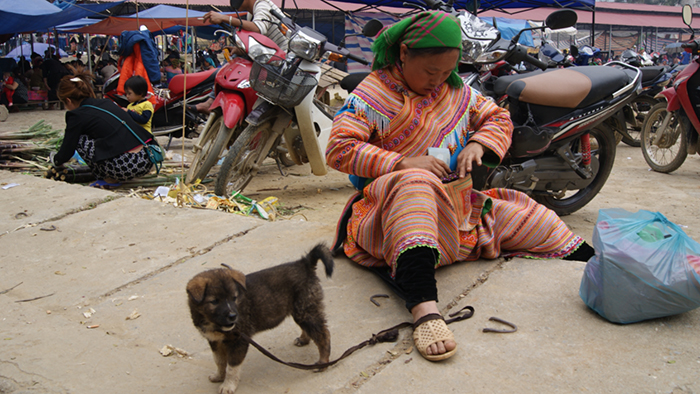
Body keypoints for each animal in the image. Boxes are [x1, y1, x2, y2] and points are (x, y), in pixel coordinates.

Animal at [186, 243, 334, 394]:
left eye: (234, 298)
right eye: (214, 301)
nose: (233, 316)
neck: (213, 323)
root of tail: (304, 263)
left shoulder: (239, 341)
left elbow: (232, 366)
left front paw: (228, 385)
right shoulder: (214, 341)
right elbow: (219, 361)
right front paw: (219, 376)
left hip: (305, 309)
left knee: (323, 334)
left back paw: (323, 363)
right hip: (300, 310)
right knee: (309, 328)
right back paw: (304, 339)